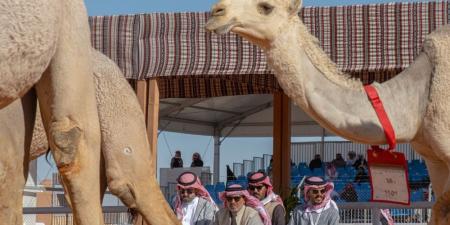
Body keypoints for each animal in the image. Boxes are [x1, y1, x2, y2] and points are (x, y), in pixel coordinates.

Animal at [207, 0, 450, 223]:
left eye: (266, 7)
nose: (216, 11)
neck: (412, 101)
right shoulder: (433, 160)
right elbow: (440, 209)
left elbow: (441, 208)